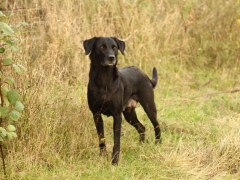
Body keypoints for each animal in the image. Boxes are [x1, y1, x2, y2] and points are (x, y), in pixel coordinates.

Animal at [83, 36, 161, 165]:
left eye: (114, 47)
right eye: (101, 47)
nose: (111, 58)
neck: (104, 79)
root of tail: (145, 75)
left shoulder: (117, 115)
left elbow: (116, 140)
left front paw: (115, 161)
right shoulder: (96, 114)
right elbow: (101, 137)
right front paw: (103, 156)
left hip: (149, 106)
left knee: (156, 125)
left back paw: (158, 143)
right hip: (129, 114)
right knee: (141, 127)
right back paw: (141, 146)